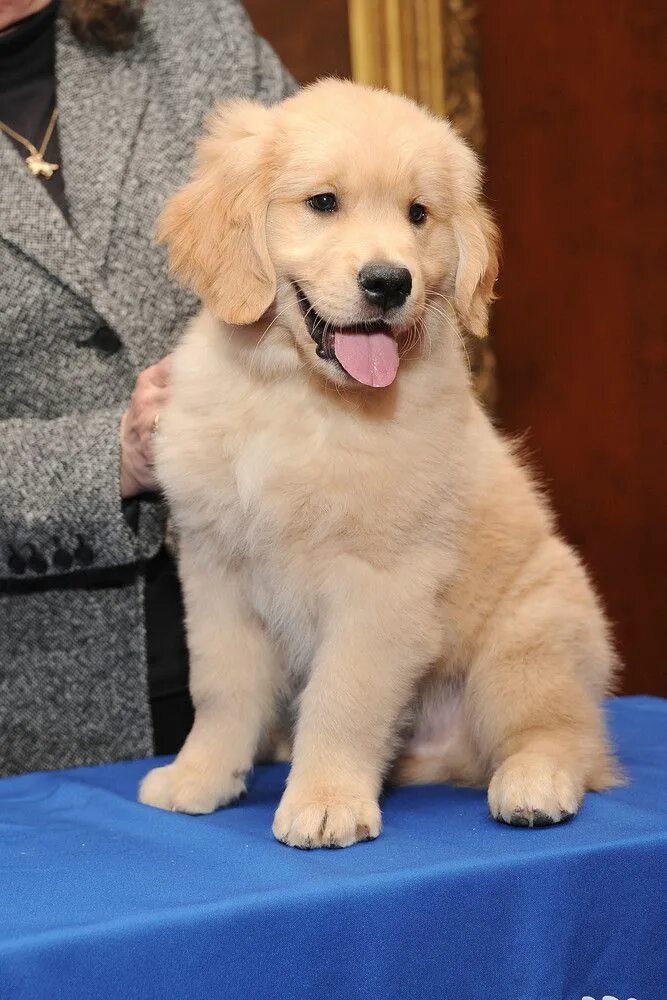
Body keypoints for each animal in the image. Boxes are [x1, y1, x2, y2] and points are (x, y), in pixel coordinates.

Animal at [138, 82, 624, 844]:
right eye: (323, 202)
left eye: (418, 214)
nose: (389, 282)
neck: (301, 397)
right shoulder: (215, 569)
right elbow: (219, 687)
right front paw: (201, 776)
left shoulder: (381, 582)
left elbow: (345, 697)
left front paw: (326, 800)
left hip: (531, 638)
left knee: (563, 736)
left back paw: (533, 784)